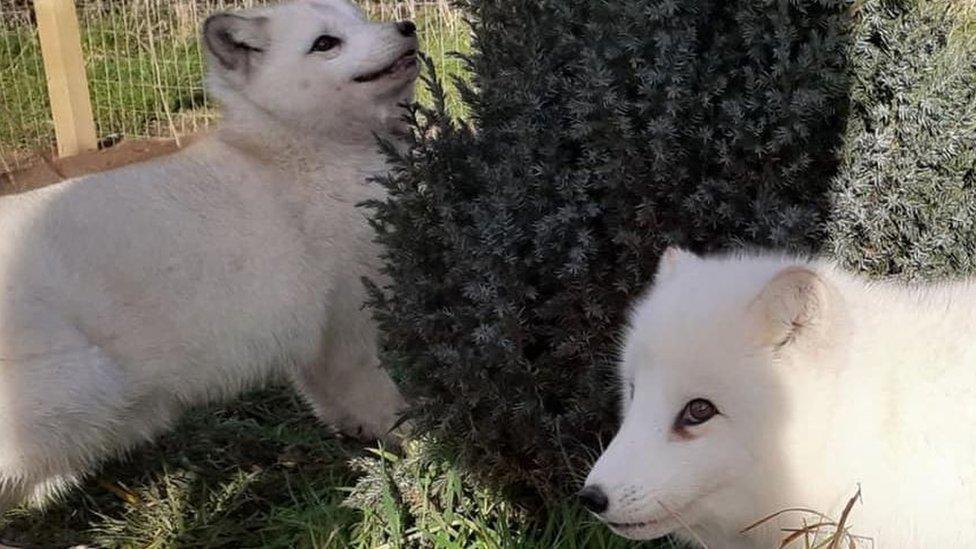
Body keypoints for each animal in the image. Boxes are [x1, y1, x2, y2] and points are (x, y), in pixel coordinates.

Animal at [0, 0, 416, 510]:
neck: (298, 149)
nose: (407, 26)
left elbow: (336, 406)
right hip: (83, 389)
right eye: (325, 43)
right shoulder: (346, 327)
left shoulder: (315, 346)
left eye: (360, 18)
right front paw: (426, 448)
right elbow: (385, 403)